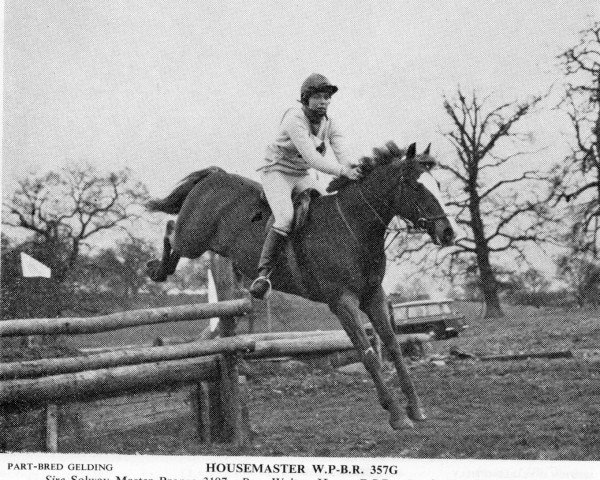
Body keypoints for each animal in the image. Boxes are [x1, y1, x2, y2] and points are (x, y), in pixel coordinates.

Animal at [146, 141, 454, 430]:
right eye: (416, 186)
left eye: (438, 185)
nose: (448, 233)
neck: (353, 227)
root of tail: (214, 176)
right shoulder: (342, 302)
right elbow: (367, 354)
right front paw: (397, 414)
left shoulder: (373, 296)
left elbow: (393, 347)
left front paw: (415, 408)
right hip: (193, 239)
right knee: (171, 231)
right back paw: (156, 270)